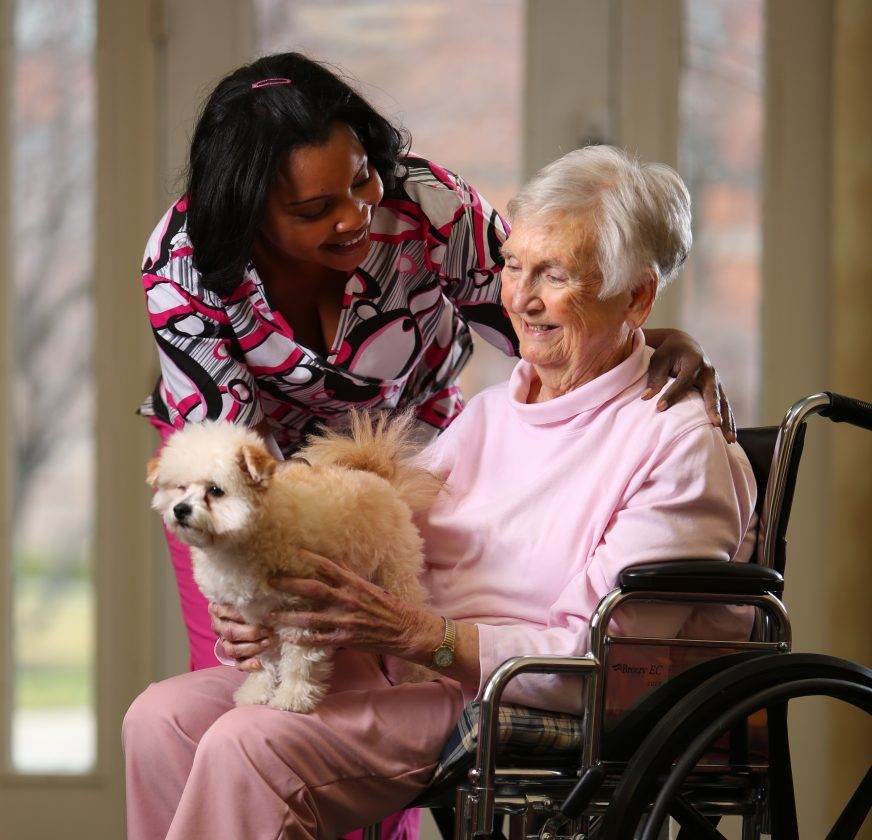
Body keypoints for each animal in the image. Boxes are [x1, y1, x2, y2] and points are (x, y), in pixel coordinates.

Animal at [147, 410, 442, 712]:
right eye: (180, 488)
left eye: (216, 490)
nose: (180, 510)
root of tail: (378, 477)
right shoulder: (253, 616)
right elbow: (262, 659)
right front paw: (257, 692)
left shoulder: (303, 611)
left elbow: (298, 663)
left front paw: (292, 697)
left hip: (396, 575)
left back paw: (420, 675)